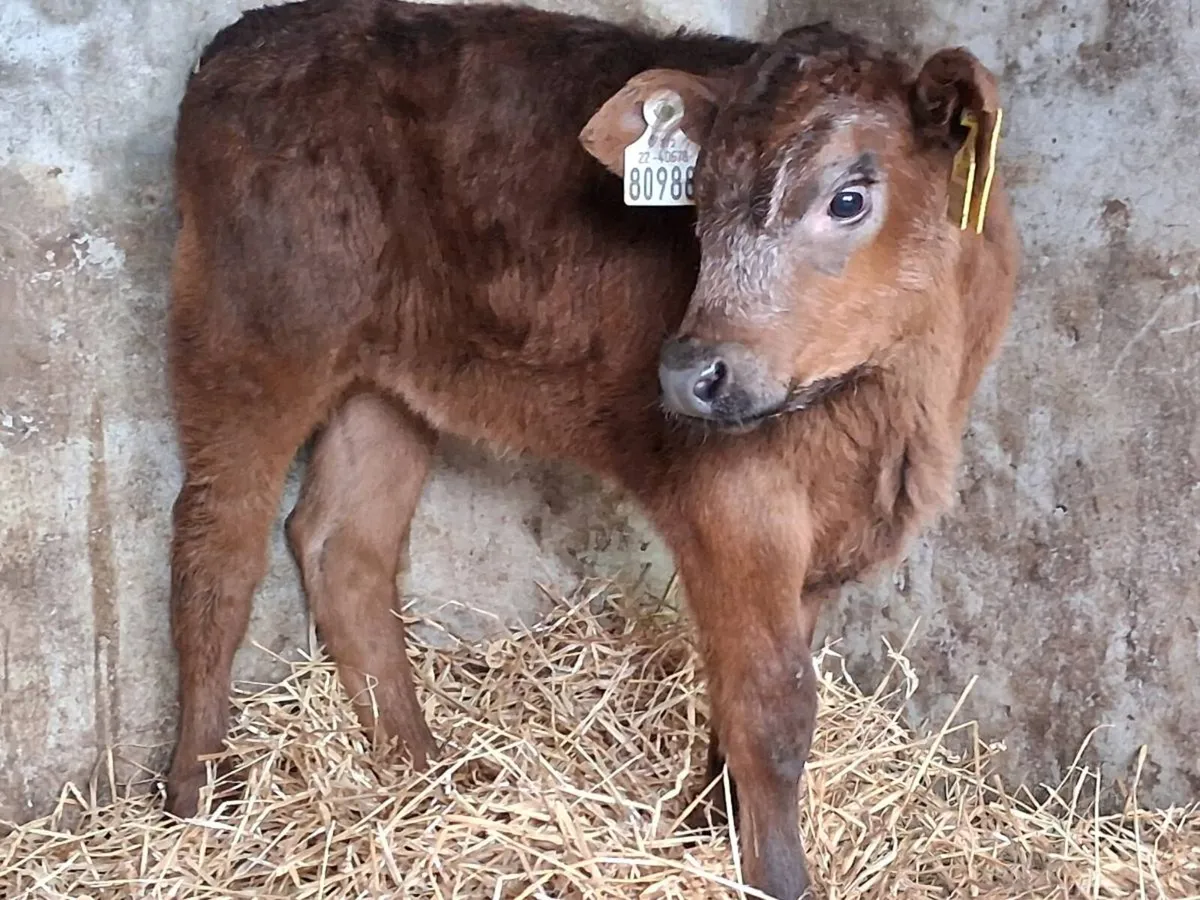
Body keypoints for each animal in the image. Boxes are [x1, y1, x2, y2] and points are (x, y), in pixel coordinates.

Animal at [162, 1, 1018, 897]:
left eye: (849, 199)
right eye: (698, 202)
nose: (687, 372)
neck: (893, 415)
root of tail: (247, 38)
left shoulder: (821, 533)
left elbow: (747, 690)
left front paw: (709, 822)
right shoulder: (732, 504)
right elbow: (773, 711)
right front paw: (775, 874)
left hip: (386, 381)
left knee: (342, 545)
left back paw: (422, 772)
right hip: (249, 333)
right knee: (217, 552)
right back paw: (199, 791)